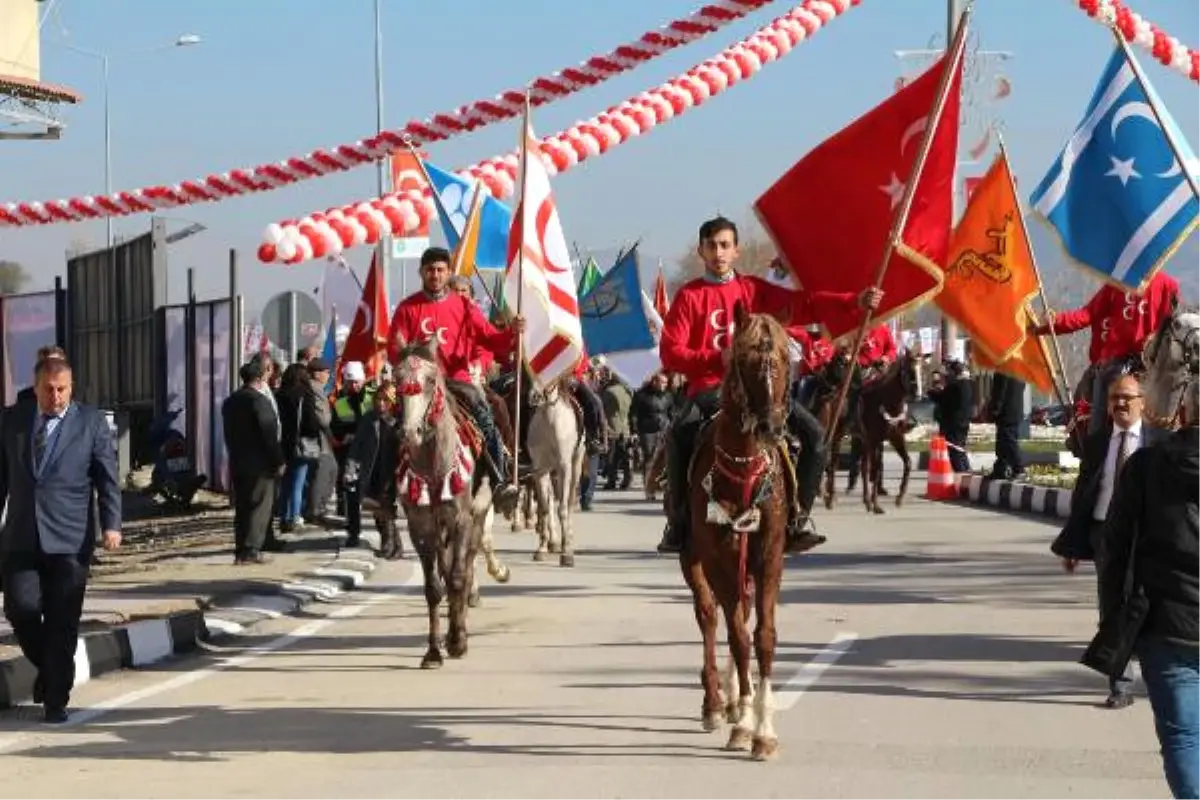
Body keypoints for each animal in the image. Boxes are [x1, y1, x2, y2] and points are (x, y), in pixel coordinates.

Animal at [388, 340, 492, 671]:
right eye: (396, 378)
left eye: (431, 380)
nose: (410, 432)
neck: (434, 465)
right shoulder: (420, 527)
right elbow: (434, 587)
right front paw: (433, 651)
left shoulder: (461, 520)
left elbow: (458, 578)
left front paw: (458, 641)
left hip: (477, 517)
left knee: (466, 569)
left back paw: (460, 631)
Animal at [525, 379, 585, 566]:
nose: (534, 397)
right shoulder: (540, 470)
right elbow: (544, 508)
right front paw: (541, 548)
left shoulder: (564, 467)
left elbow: (563, 508)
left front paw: (566, 553)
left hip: (576, 464)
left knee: (570, 500)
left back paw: (568, 538)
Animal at [854, 352, 916, 515]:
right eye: (909, 370)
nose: (917, 393)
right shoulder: (874, 439)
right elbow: (875, 470)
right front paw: (876, 505)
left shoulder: (896, 437)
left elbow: (908, 463)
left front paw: (900, 498)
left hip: (865, 441)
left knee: (864, 466)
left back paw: (866, 500)